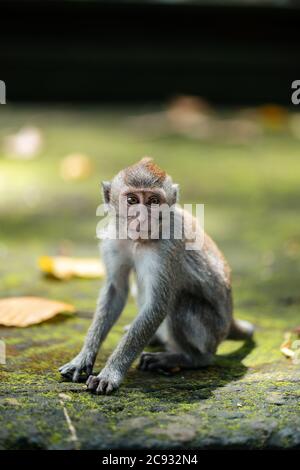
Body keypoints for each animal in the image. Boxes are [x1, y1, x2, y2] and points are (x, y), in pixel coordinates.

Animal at [59, 157, 253, 392]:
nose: (142, 217)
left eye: (153, 201)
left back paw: (187, 358)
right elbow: (116, 290)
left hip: (211, 332)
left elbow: (158, 305)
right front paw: (83, 357)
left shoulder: (168, 249)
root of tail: (230, 321)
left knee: (181, 304)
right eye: (132, 200)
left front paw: (111, 373)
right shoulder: (113, 241)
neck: (139, 241)